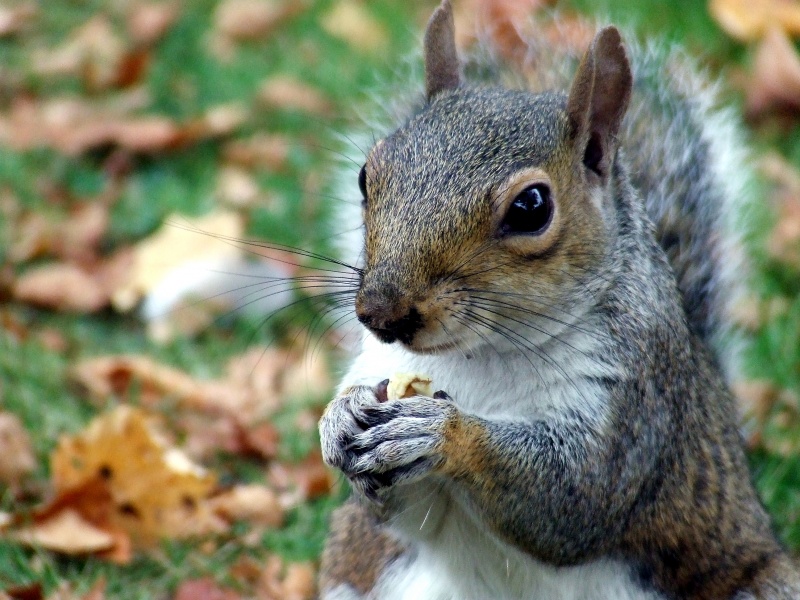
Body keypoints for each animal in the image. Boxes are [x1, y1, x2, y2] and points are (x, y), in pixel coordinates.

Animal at [314, 2, 800, 596]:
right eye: (367, 175)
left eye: (531, 207)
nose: (380, 313)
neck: (479, 355)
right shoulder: (379, 365)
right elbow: (395, 510)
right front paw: (338, 418)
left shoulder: (636, 406)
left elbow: (572, 500)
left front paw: (442, 432)